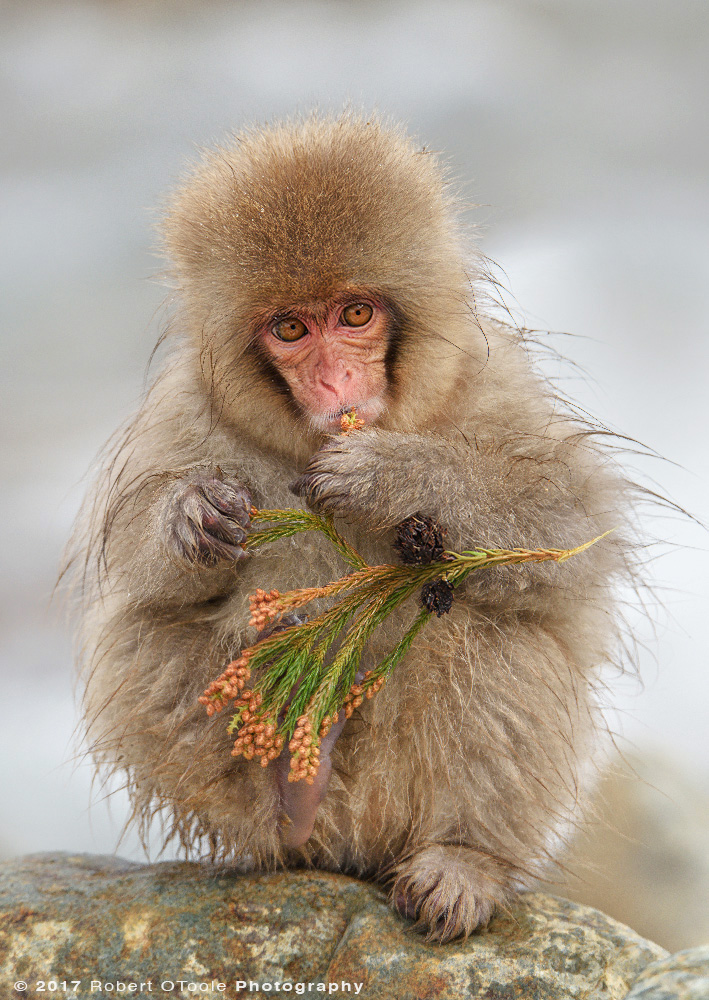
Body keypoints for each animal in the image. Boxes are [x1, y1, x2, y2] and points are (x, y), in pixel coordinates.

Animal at [69, 113, 632, 940]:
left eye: (355, 315)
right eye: (291, 329)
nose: (335, 380)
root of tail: (348, 844)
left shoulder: (492, 384)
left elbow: (573, 530)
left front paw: (393, 475)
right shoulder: (187, 413)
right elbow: (136, 578)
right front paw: (189, 518)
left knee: (499, 638)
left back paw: (463, 861)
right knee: (146, 642)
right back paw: (292, 801)